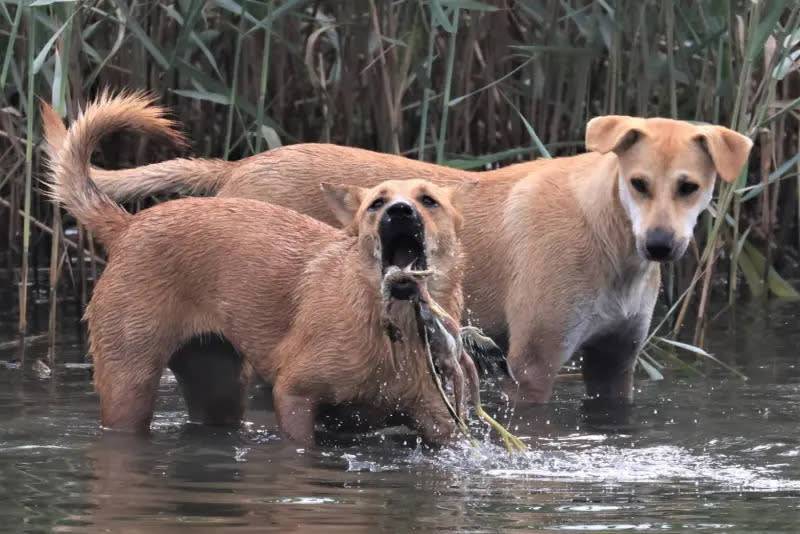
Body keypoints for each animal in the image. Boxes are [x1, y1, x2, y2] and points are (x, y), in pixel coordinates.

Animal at [43, 94, 472, 446]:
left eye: (428, 200)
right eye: (376, 203)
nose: (399, 211)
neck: (393, 333)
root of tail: (130, 223)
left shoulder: (438, 422)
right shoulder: (295, 395)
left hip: (217, 385)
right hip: (128, 385)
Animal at [47, 103, 752, 406]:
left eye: (690, 187)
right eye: (639, 183)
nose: (661, 244)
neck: (610, 236)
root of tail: (235, 169)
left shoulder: (615, 365)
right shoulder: (533, 366)